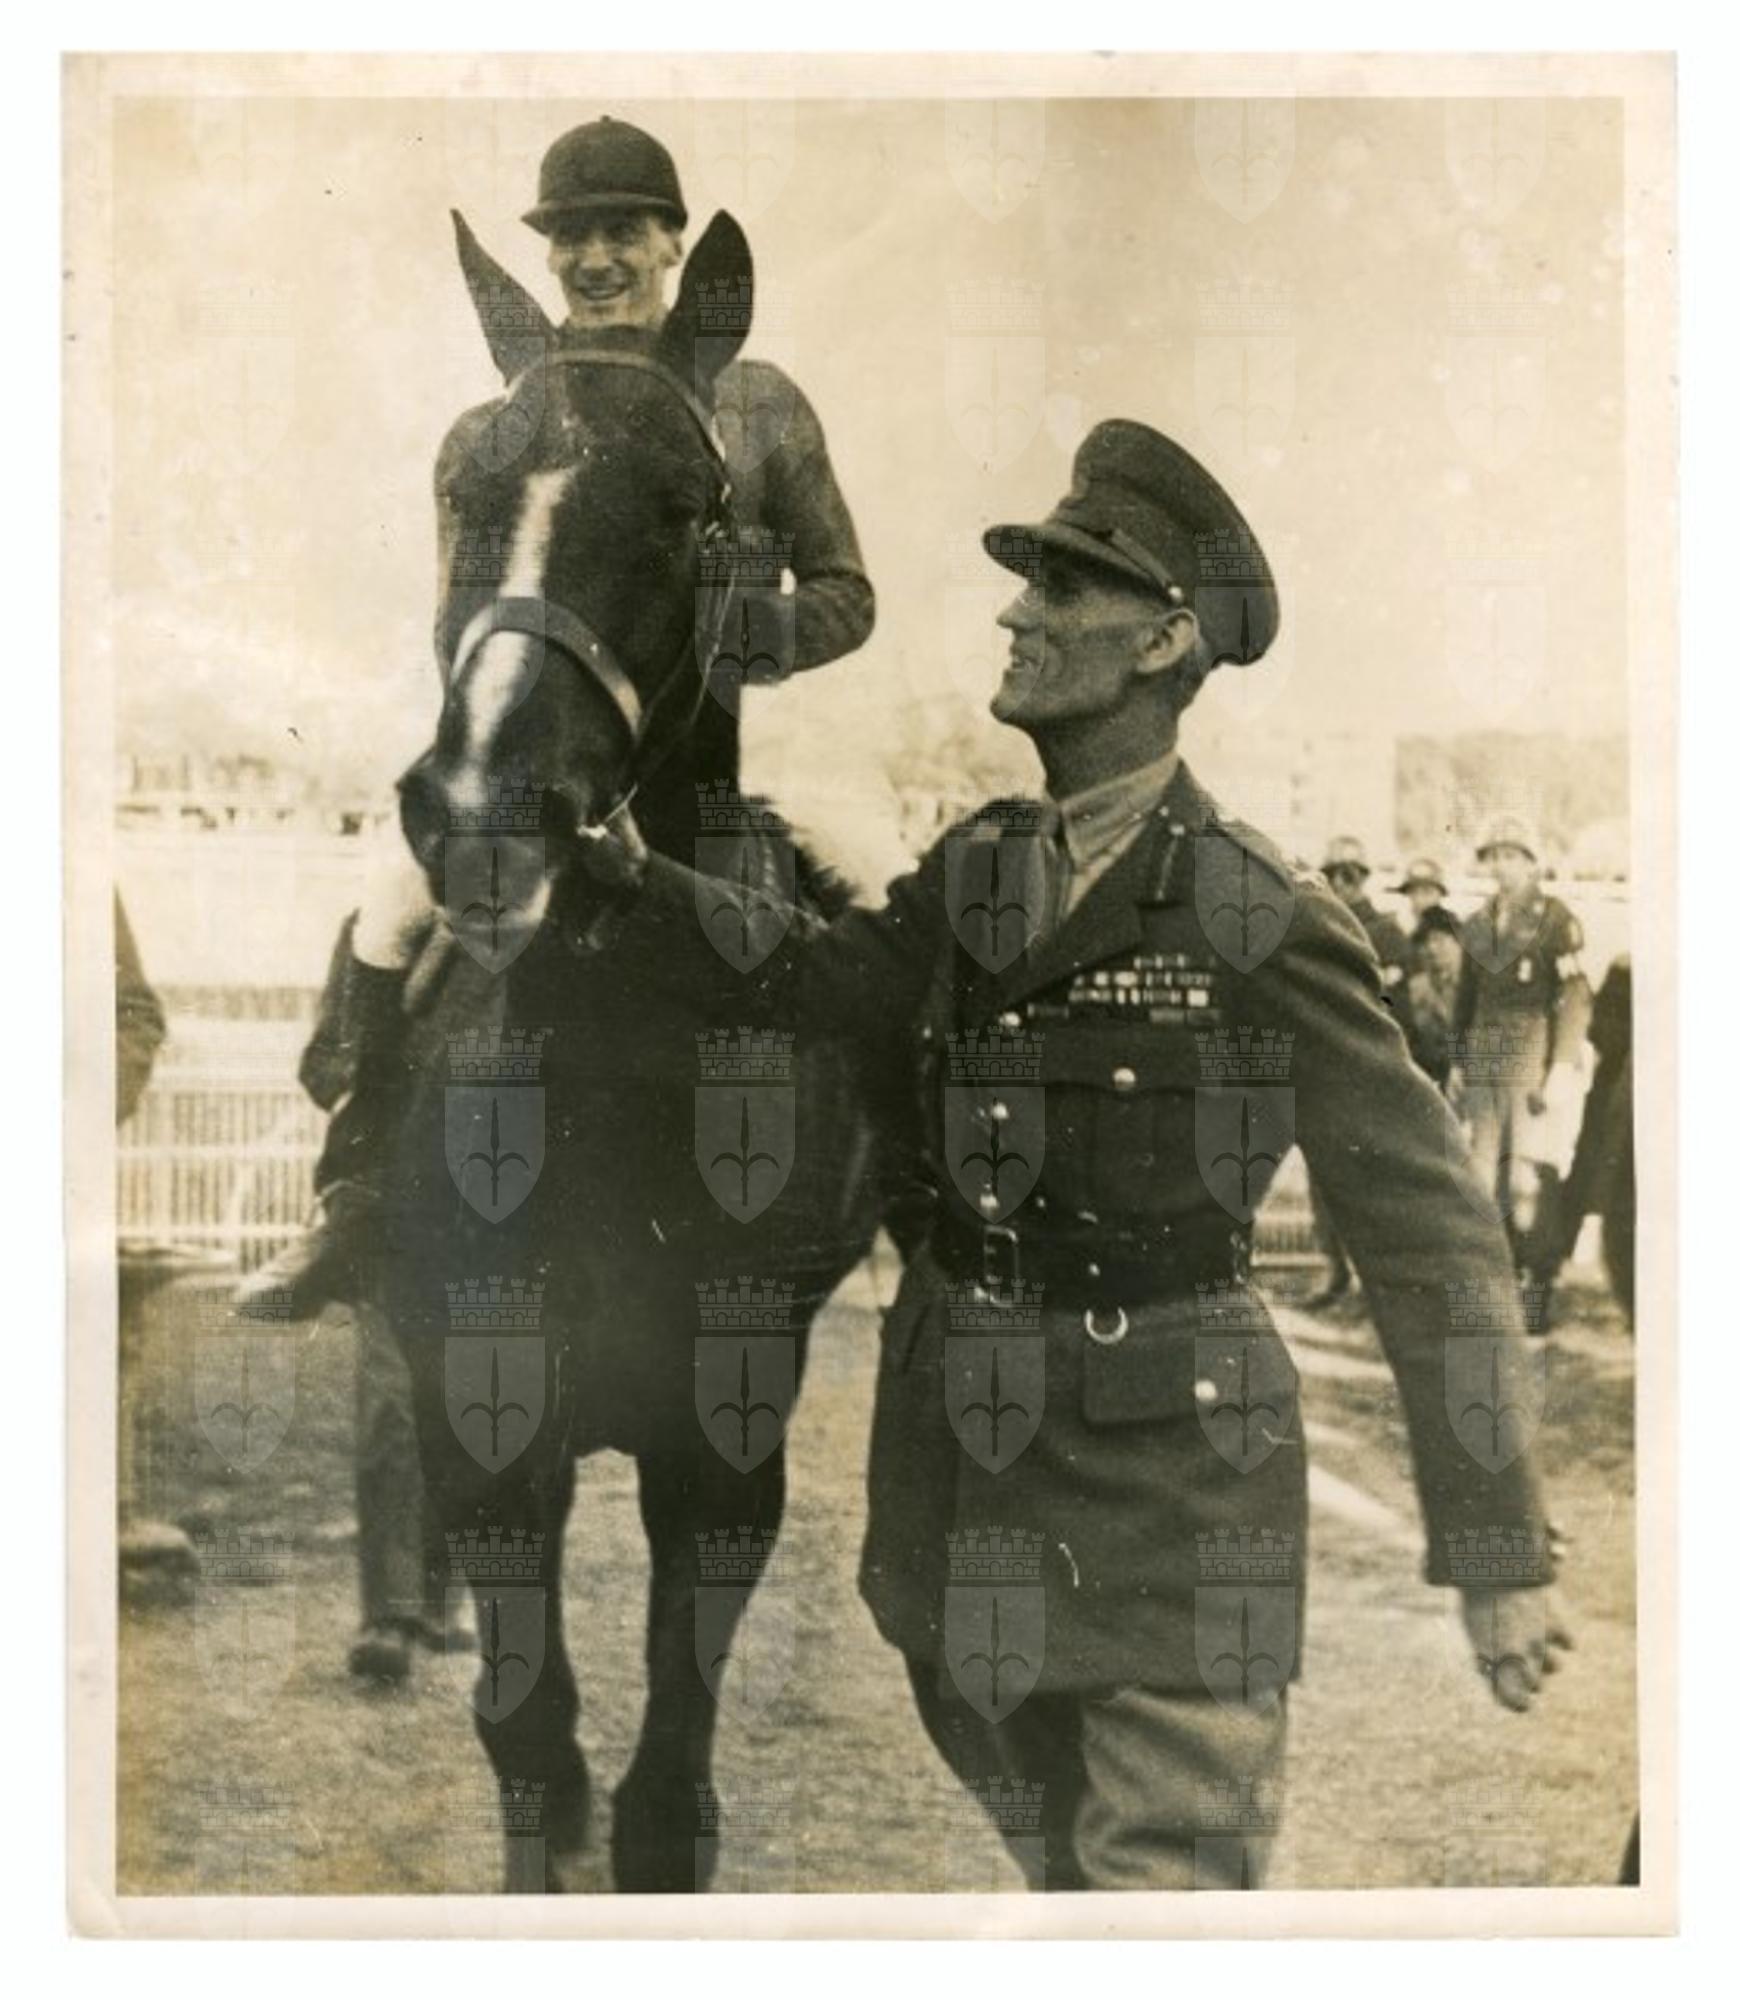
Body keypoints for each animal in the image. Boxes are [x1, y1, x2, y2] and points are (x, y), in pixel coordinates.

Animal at [385, 209, 885, 1892]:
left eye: (688, 508)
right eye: (464, 489)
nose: (485, 813)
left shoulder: (723, 1454)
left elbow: (668, 1796)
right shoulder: (484, 1431)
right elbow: (532, 1749)